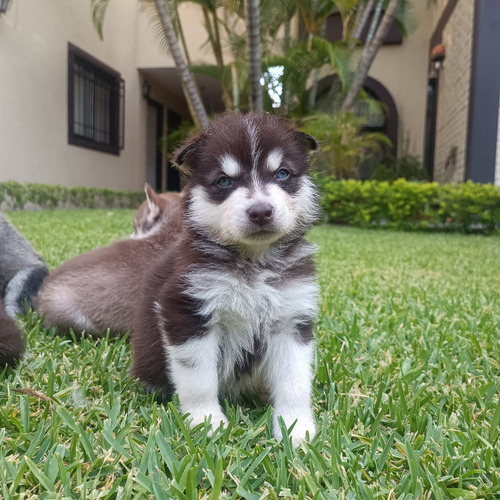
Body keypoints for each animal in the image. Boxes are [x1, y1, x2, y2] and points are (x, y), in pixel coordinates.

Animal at [131, 113, 320, 446]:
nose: (261, 211)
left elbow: (295, 381)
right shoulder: (188, 312)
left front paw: (294, 426)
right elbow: (198, 379)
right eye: (224, 181)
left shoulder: (292, 319)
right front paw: (205, 421)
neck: (253, 264)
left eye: (282, 174)